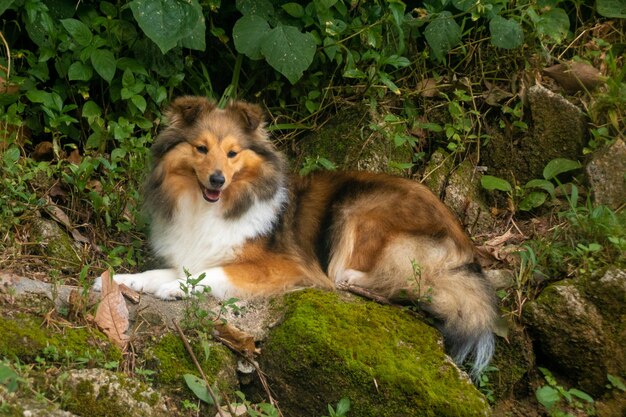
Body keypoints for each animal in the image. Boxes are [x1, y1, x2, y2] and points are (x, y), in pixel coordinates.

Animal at [95, 96, 494, 376]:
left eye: (232, 153)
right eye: (201, 148)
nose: (217, 180)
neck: (211, 207)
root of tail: (463, 243)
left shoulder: (282, 267)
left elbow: (210, 275)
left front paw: (174, 288)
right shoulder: (194, 252)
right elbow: (161, 272)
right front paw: (118, 280)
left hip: (358, 208)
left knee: (405, 281)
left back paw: (352, 278)